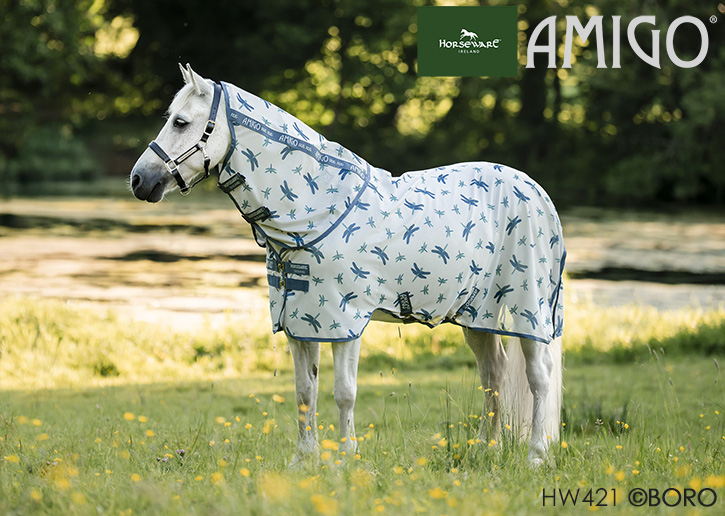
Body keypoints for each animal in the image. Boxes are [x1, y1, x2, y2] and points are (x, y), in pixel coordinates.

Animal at [130, 64, 565, 467]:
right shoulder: (300, 322)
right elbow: (304, 392)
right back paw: (486, 449)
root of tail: (537, 191)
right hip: (477, 316)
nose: (138, 180)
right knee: (493, 374)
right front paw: (303, 460)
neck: (315, 212)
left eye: (181, 122)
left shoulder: (345, 322)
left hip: (527, 311)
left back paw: (536, 455)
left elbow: (344, 392)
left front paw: (344, 460)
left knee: (538, 377)